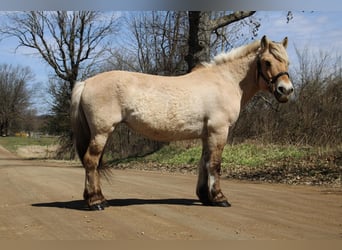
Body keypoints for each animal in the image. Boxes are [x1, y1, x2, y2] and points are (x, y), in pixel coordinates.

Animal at [70, 35, 294, 210]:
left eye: (287, 63)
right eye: (267, 62)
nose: (286, 90)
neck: (226, 80)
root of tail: (86, 83)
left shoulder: (207, 134)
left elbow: (204, 163)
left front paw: (205, 197)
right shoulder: (219, 130)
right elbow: (215, 164)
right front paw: (219, 198)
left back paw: (93, 198)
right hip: (101, 132)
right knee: (91, 161)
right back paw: (96, 201)